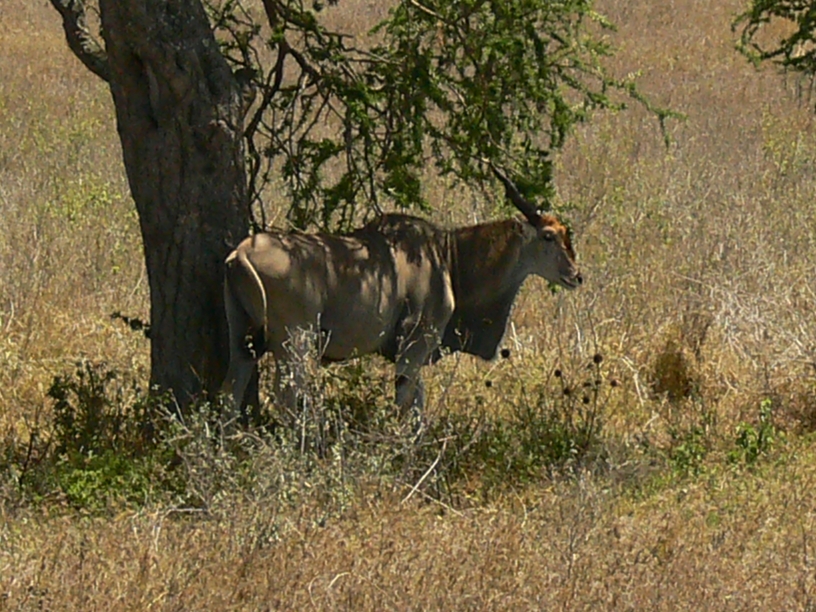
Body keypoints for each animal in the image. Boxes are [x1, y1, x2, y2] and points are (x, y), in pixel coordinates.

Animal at [220, 164, 582, 424]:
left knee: (230, 392)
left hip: (243, 339)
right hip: (294, 341)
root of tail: (241, 254)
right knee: (286, 399)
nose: (576, 276)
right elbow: (407, 404)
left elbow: (417, 405)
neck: (448, 257)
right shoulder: (414, 345)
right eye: (549, 236)